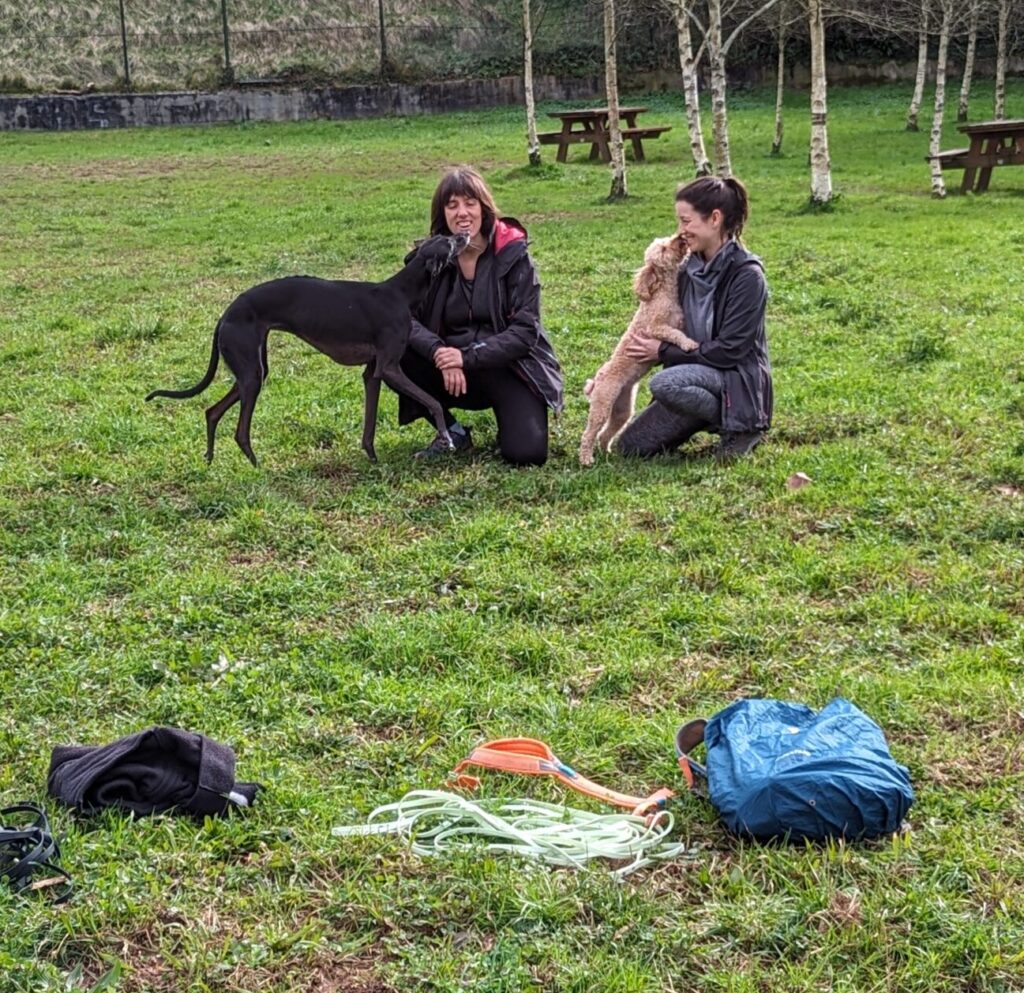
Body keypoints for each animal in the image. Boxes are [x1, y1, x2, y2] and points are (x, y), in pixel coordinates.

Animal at [145, 232, 471, 464]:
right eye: (448, 241)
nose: (465, 234)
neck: (401, 292)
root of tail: (226, 314)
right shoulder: (390, 368)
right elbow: (434, 401)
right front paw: (446, 437)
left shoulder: (373, 373)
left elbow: (369, 425)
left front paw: (372, 458)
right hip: (250, 373)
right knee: (240, 432)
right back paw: (256, 467)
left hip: (252, 370)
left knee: (212, 411)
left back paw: (211, 458)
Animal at [581, 233, 700, 464]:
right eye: (663, 249)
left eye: (668, 239)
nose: (680, 237)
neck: (663, 292)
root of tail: (597, 380)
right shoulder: (657, 328)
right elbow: (676, 334)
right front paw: (689, 344)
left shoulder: (678, 321)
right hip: (602, 404)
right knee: (589, 433)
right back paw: (586, 459)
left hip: (622, 408)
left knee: (606, 432)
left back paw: (606, 452)